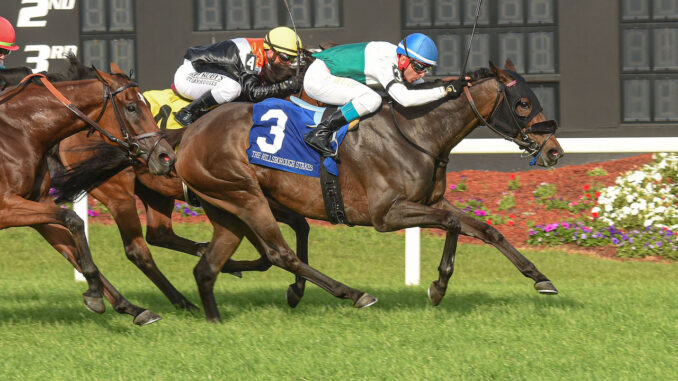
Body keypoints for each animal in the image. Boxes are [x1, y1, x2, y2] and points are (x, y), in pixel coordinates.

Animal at [0, 63, 178, 324]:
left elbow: (72, 249)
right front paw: (94, 293)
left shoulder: (36, 204)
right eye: (132, 107)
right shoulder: (6, 207)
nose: (166, 157)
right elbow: (73, 219)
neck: (19, 131)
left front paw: (132, 307)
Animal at [174, 61, 564, 320]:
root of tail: (189, 133)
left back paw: (215, 318)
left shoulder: (430, 200)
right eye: (523, 104)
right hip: (246, 196)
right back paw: (353, 294)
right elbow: (451, 223)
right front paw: (438, 287)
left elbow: (484, 229)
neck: (416, 132)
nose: (554, 151)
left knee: (208, 268)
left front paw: (540, 278)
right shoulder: (385, 214)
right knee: (280, 253)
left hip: (227, 207)